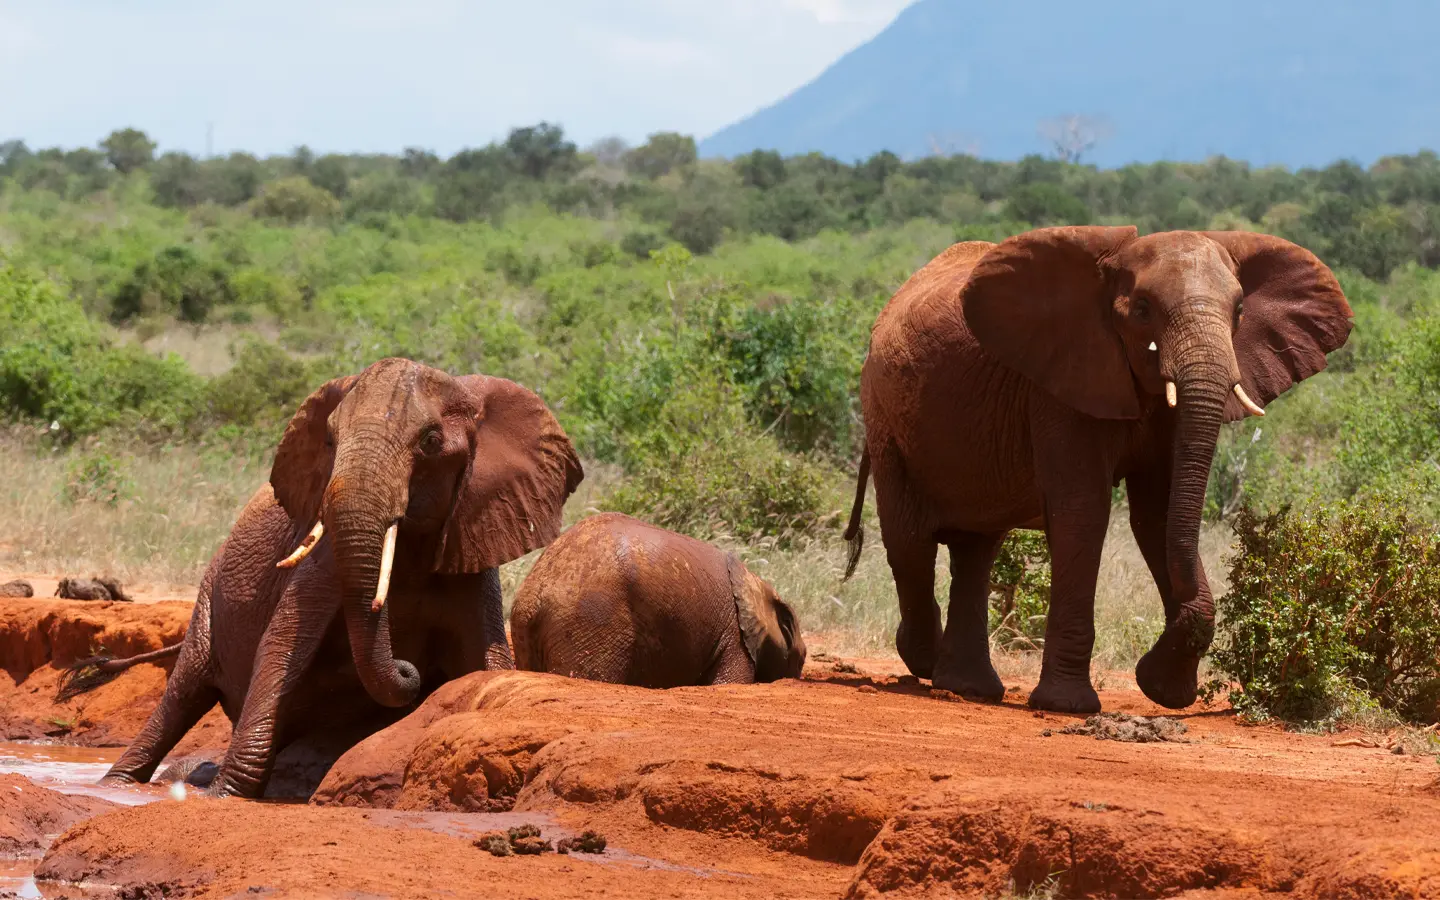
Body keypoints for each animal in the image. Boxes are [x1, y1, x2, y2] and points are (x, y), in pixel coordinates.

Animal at [62, 357, 583, 797]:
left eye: (431, 442)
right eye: (331, 441)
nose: (409, 669)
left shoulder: (471, 542)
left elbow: (486, 663)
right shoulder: (322, 557)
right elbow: (281, 646)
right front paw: (224, 795)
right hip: (208, 596)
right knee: (183, 694)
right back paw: (116, 787)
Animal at [842, 227, 1352, 713]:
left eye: (1240, 309)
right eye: (1142, 309)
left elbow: (1159, 514)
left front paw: (1163, 688)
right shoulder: (1061, 381)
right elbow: (1082, 511)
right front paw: (1068, 706)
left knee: (976, 549)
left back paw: (968, 688)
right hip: (885, 418)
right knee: (911, 544)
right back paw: (922, 659)